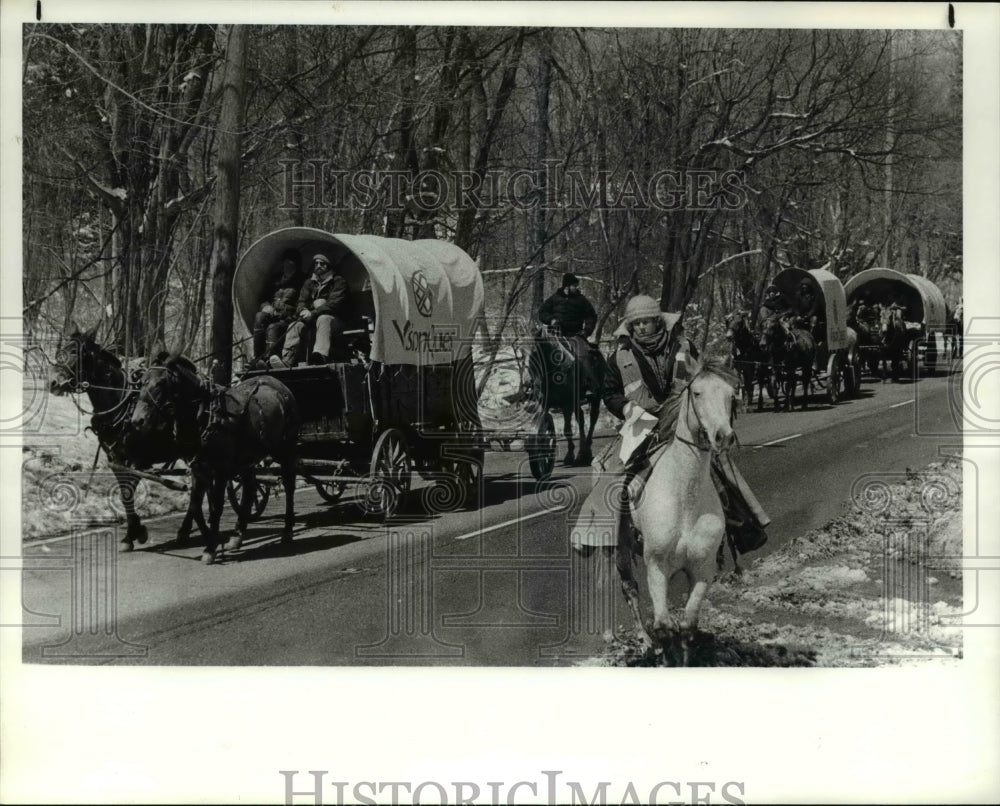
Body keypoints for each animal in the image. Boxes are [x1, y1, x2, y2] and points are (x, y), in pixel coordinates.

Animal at [48, 332, 207, 552]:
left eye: (74, 352)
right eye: (62, 350)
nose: (53, 382)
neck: (121, 406)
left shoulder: (137, 461)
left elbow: (128, 491)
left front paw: (135, 532)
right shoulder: (116, 459)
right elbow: (125, 495)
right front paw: (132, 534)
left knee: (198, 489)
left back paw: (184, 530)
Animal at [131, 356, 298, 564]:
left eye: (161, 382)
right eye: (142, 381)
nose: (137, 420)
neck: (205, 415)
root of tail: (280, 386)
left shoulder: (220, 471)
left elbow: (216, 507)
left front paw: (210, 548)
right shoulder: (198, 469)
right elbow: (195, 505)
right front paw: (208, 538)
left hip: (285, 449)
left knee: (289, 484)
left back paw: (287, 530)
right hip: (248, 459)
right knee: (250, 489)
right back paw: (237, 536)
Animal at [616, 362, 744, 668]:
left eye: (731, 395)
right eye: (697, 393)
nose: (723, 436)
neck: (685, 500)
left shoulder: (703, 569)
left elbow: (687, 625)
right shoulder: (656, 566)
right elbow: (663, 625)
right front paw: (664, 656)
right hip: (622, 549)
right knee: (630, 590)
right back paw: (645, 642)